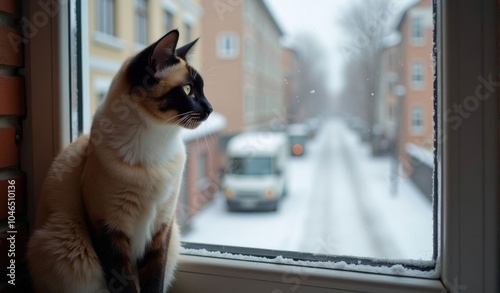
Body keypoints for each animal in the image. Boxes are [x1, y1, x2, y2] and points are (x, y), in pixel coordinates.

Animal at [26, 28, 212, 290]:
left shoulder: (162, 227)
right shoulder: (109, 229)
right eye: (187, 90)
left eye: (202, 90)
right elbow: (124, 283)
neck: (155, 142)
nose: (210, 109)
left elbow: (154, 281)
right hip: (59, 243)